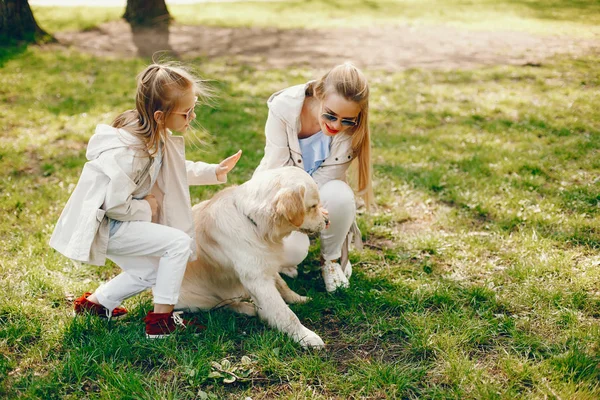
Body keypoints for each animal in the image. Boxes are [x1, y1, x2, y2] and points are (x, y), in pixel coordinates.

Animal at [176, 166, 330, 346]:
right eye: (313, 206)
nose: (327, 220)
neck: (255, 224)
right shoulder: (257, 279)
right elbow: (285, 313)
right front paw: (306, 336)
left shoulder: (266, 262)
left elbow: (283, 285)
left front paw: (298, 298)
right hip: (197, 300)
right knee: (224, 304)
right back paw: (248, 308)